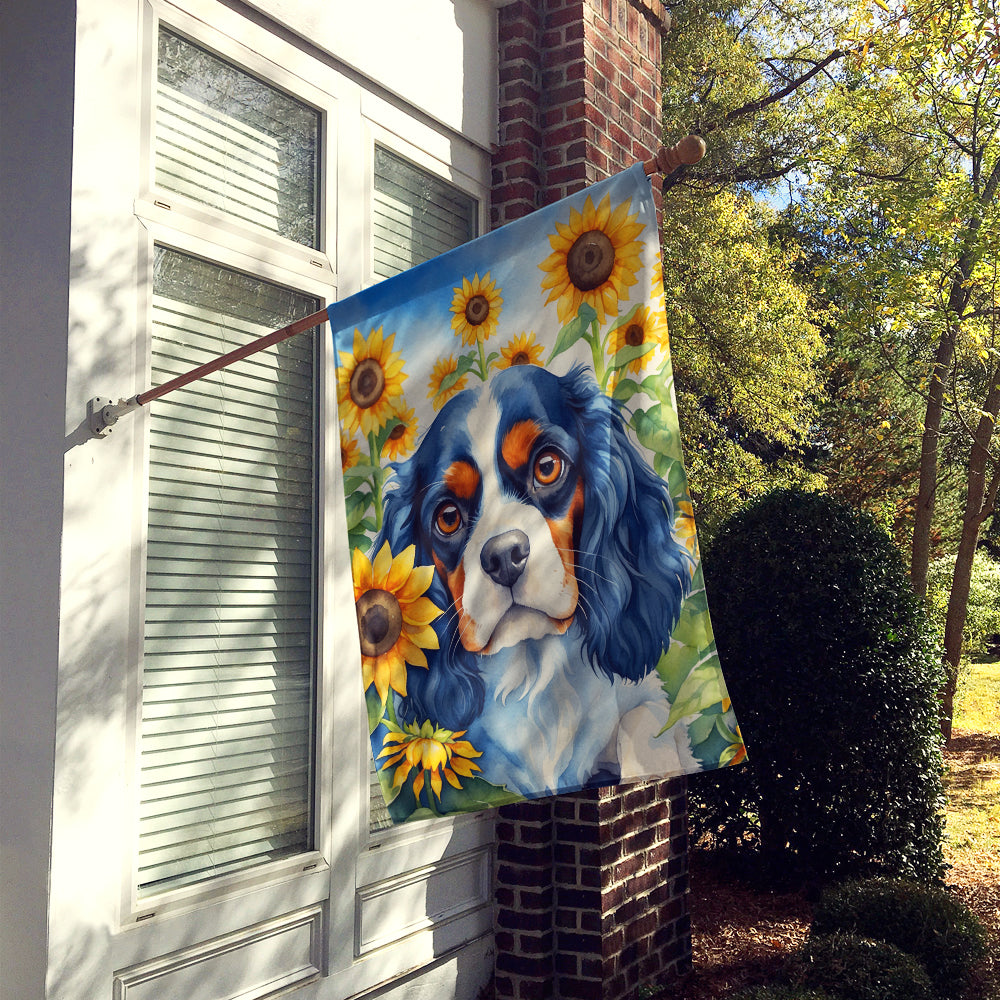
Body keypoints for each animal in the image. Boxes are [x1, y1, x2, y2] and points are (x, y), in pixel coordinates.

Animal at [374, 364, 696, 792]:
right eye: (448, 517)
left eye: (547, 467)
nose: (502, 556)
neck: (534, 669)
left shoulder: (645, 697)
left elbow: (643, 724)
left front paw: (650, 766)